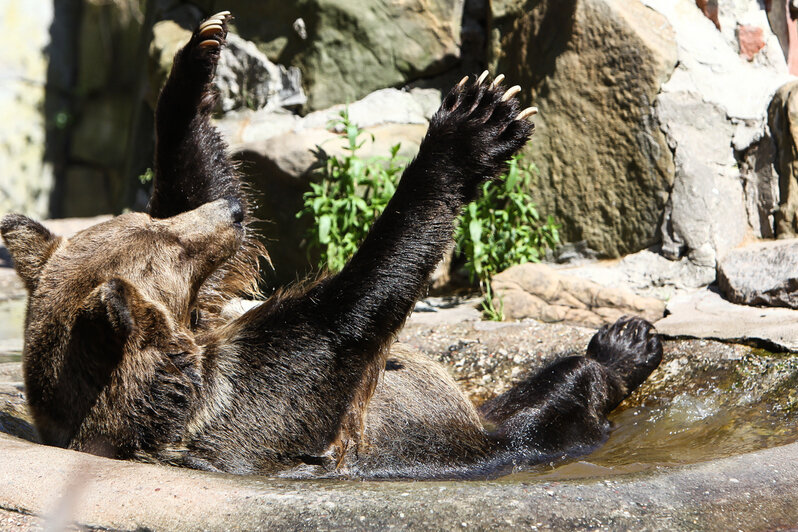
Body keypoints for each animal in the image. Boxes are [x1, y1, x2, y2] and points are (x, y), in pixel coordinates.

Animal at [0, 11, 664, 478]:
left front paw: (199, 57)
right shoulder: (263, 396)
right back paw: (623, 345)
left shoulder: (213, 331)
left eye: (155, 223)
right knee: (548, 407)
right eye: (170, 247)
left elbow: (200, 192)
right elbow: (351, 314)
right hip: (477, 441)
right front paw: (470, 126)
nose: (233, 213)